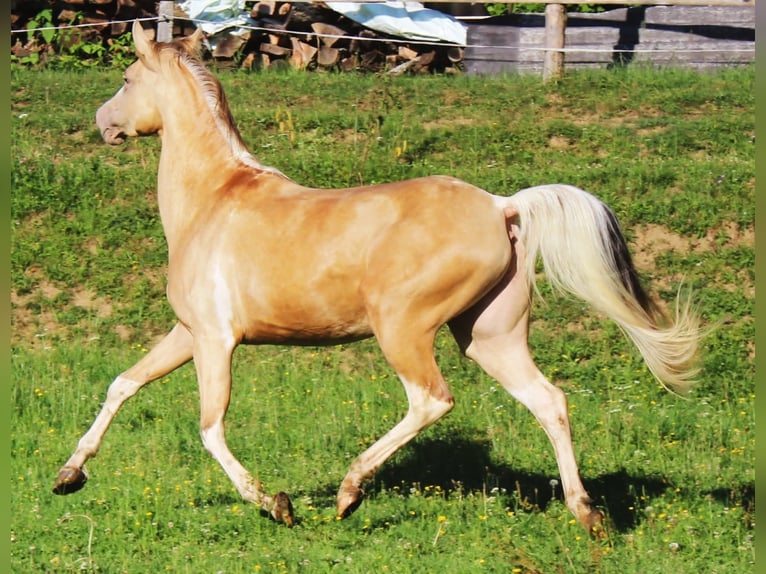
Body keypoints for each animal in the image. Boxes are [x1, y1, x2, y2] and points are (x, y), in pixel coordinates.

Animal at [53, 21, 701, 535]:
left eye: (127, 79)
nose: (103, 122)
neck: (212, 199)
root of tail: (502, 206)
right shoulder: (188, 333)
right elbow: (122, 384)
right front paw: (68, 476)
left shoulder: (215, 340)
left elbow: (210, 428)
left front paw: (276, 504)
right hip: (489, 336)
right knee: (550, 401)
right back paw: (586, 514)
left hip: (403, 329)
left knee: (432, 399)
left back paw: (349, 493)